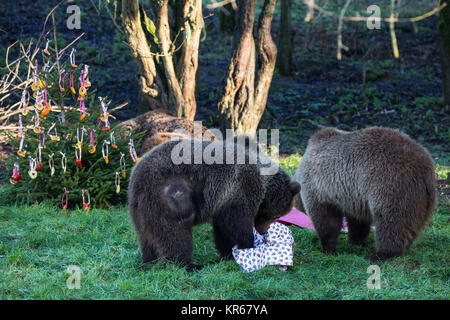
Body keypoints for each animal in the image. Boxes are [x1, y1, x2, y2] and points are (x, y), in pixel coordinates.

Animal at [128, 136, 300, 270]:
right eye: (276, 216)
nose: (263, 231)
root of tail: (137, 175)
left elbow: (222, 228)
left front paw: (228, 254)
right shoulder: (239, 188)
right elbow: (235, 224)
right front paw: (247, 246)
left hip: (141, 209)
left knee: (146, 236)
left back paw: (149, 260)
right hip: (171, 196)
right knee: (175, 234)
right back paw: (189, 264)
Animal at [294, 126, 438, 262]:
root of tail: (424, 167)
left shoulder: (319, 188)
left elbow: (326, 219)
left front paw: (328, 248)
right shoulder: (354, 195)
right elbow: (358, 221)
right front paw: (356, 241)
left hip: (392, 184)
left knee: (390, 222)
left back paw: (380, 254)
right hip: (424, 200)